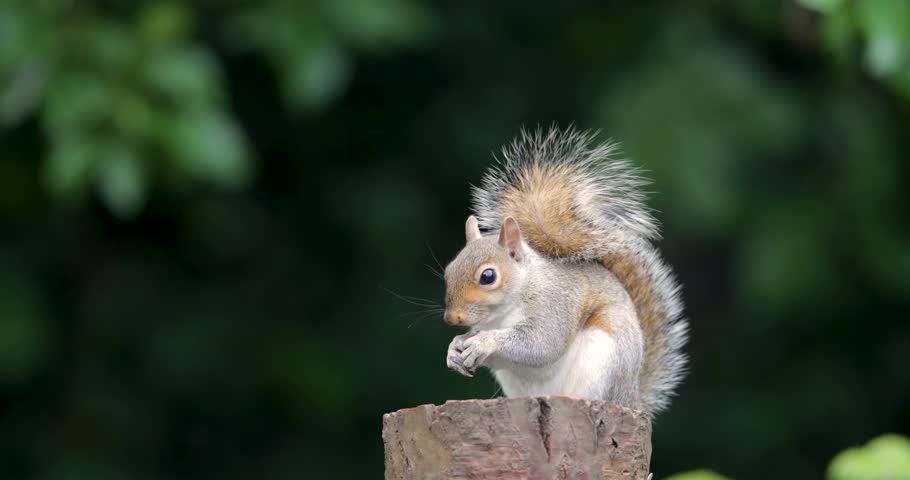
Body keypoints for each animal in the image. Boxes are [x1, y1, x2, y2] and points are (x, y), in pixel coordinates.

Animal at [443, 126, 688, 416]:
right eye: (448, 271)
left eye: (487, 276)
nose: (452, 318)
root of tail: (631, 400)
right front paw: (454, 348)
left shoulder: (555, 305)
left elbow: (540, 344)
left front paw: (484, 342)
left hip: (603, 360)